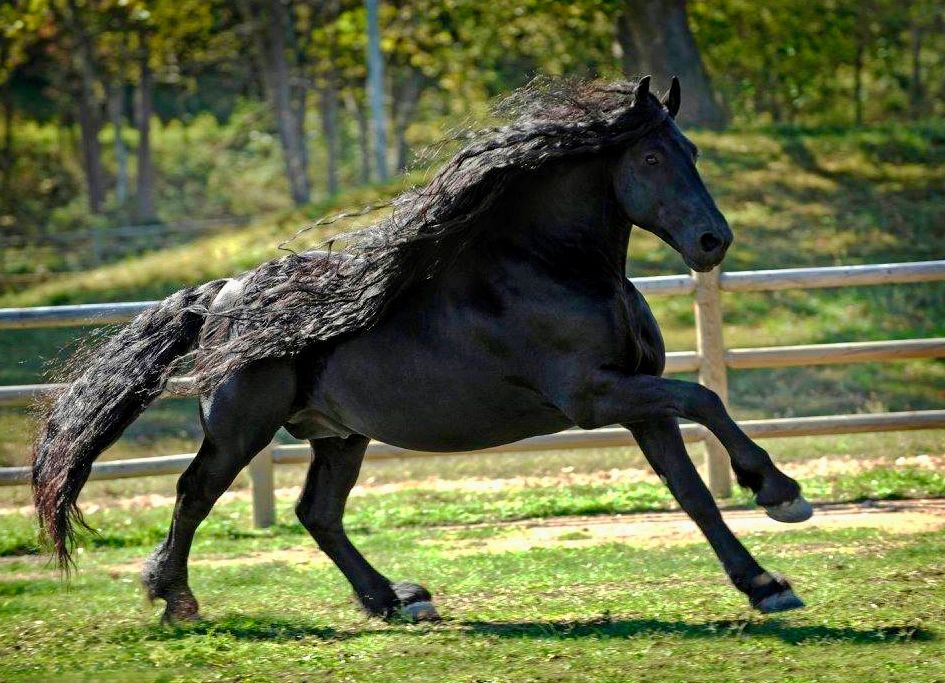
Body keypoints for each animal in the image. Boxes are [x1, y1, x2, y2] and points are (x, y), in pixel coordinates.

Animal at [32, 76, 813, 625]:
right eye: (651, 155)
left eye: (693, 152)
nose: (713, 241)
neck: (553, 268)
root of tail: (220, 294)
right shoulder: (595, 396)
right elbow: (704, 397)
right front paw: (780, 492)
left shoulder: (636, 399)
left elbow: (691, 490)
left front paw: (765, 584)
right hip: (240, 429)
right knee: (195, 493)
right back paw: (176, 599)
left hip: (338, 436)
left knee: (317, 513)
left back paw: (394, 599)